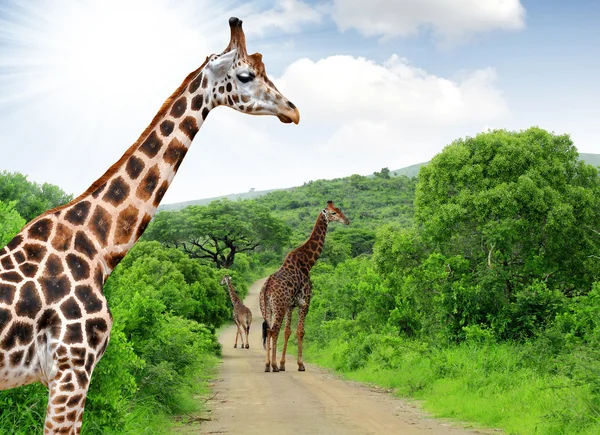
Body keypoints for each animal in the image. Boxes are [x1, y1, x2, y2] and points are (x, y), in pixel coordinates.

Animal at [260, 203, 350, 372]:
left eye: (340, 209)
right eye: (333, 213)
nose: (347, 221)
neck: (308, 263)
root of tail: (266, 288)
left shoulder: (291, 305)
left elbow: (287, 331)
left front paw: (283, 364)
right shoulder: (305, 302)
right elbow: (300, 331)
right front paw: (300, 364)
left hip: (267, 308)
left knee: (268, 330)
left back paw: (268, 365)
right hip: (278, 307)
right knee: (274, 330)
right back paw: (273, 365)